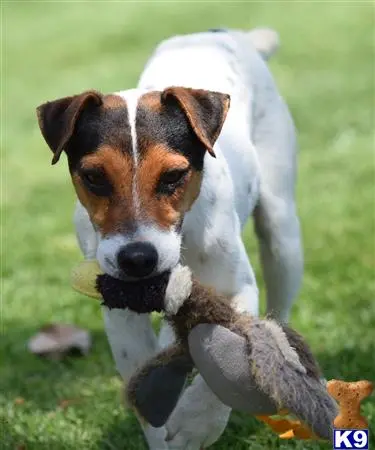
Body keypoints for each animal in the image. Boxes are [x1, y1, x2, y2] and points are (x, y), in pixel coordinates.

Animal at [36, 27, 304, 450]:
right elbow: (144, 382)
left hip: (282, 234)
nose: (137, 258)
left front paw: (196, 423)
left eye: (173, 176)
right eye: (94, 177)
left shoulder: (236, 289)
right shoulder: (120, 312)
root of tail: (227, 33)